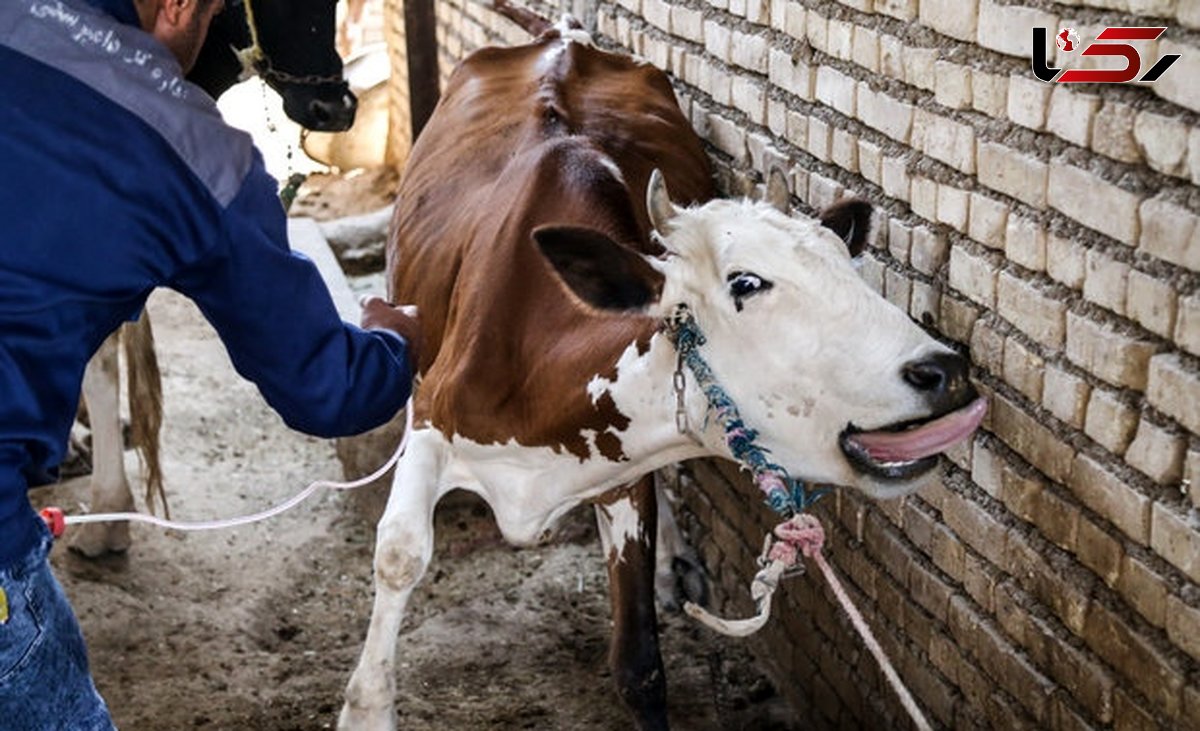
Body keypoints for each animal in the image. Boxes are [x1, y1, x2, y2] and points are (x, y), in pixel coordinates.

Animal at [338, 7, 984, 729]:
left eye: (848, 265)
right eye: (746, 283)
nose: (944, 369)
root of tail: (563, 35)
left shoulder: (623, 473)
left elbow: (640, 662)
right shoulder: (430, 419)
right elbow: (399, 551)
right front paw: (365, 703)